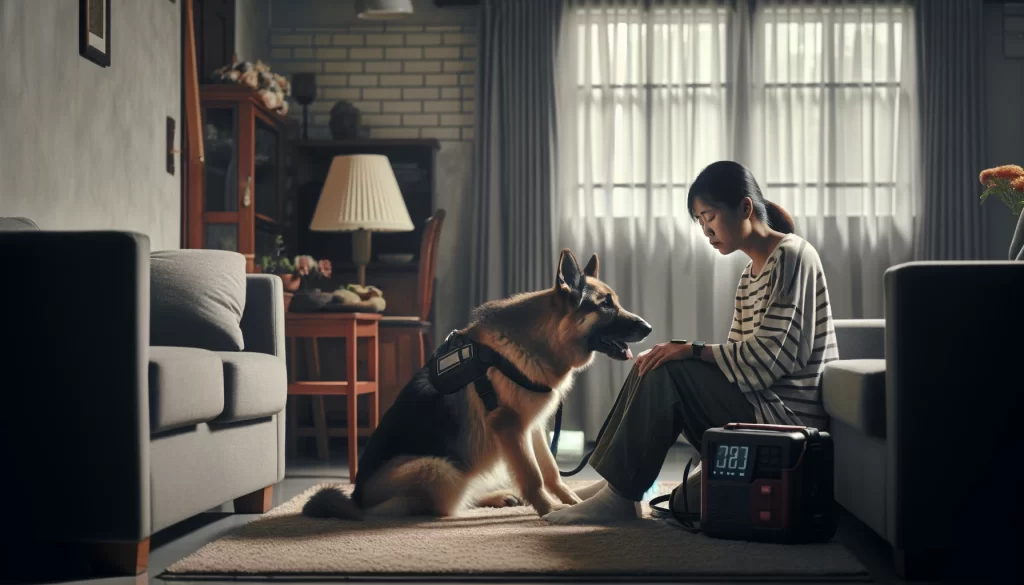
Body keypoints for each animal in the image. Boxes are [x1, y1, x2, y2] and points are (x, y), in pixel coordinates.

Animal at [301, 249, 647, 520]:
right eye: (606, 305)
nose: (649, 327)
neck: (541, 337)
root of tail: (357, 498)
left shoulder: (533, 428)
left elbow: (550, 471)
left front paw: (572, 502)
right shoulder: (511, 427)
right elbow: (533, 475)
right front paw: (550, 511)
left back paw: (497, 497)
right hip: (440, 469)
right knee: (442, 506)